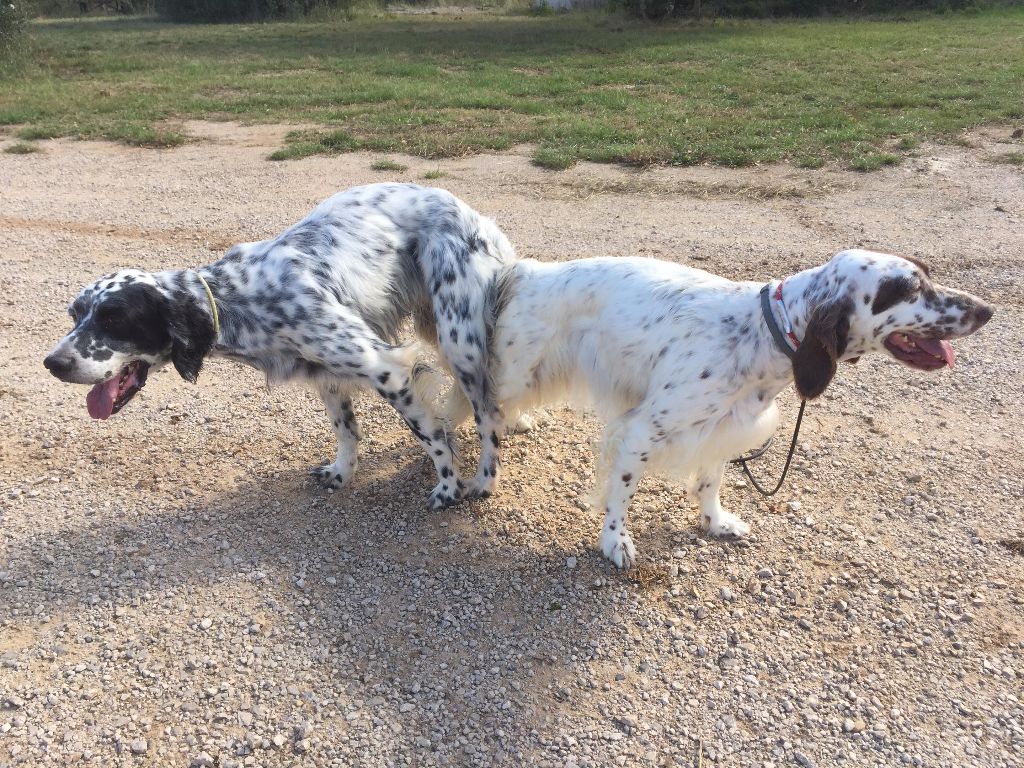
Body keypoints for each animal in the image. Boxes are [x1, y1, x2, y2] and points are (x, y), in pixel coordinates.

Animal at [43, 183, 516, 512]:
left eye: (113, 318)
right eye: (75, 314)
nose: (52, 363)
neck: (237, 299)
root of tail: (469, 210)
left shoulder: (384, 366)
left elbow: (430, 434)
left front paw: (447, 486)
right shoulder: (327, 375)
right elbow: (347, 431)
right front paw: (342, 473)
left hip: (458, 339)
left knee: (487, 415)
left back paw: (484, 480)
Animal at [448, 249, 991, 569]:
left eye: (927, 278)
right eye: (907, 289)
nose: (987, 310)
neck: (762, 330)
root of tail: (528, 271)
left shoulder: (725, 430)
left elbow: (710, 482)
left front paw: (715, 521)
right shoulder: (643, 431)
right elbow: (620, 491)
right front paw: (614, 541)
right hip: (511, 370)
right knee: (476, 406)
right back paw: (476, 468)